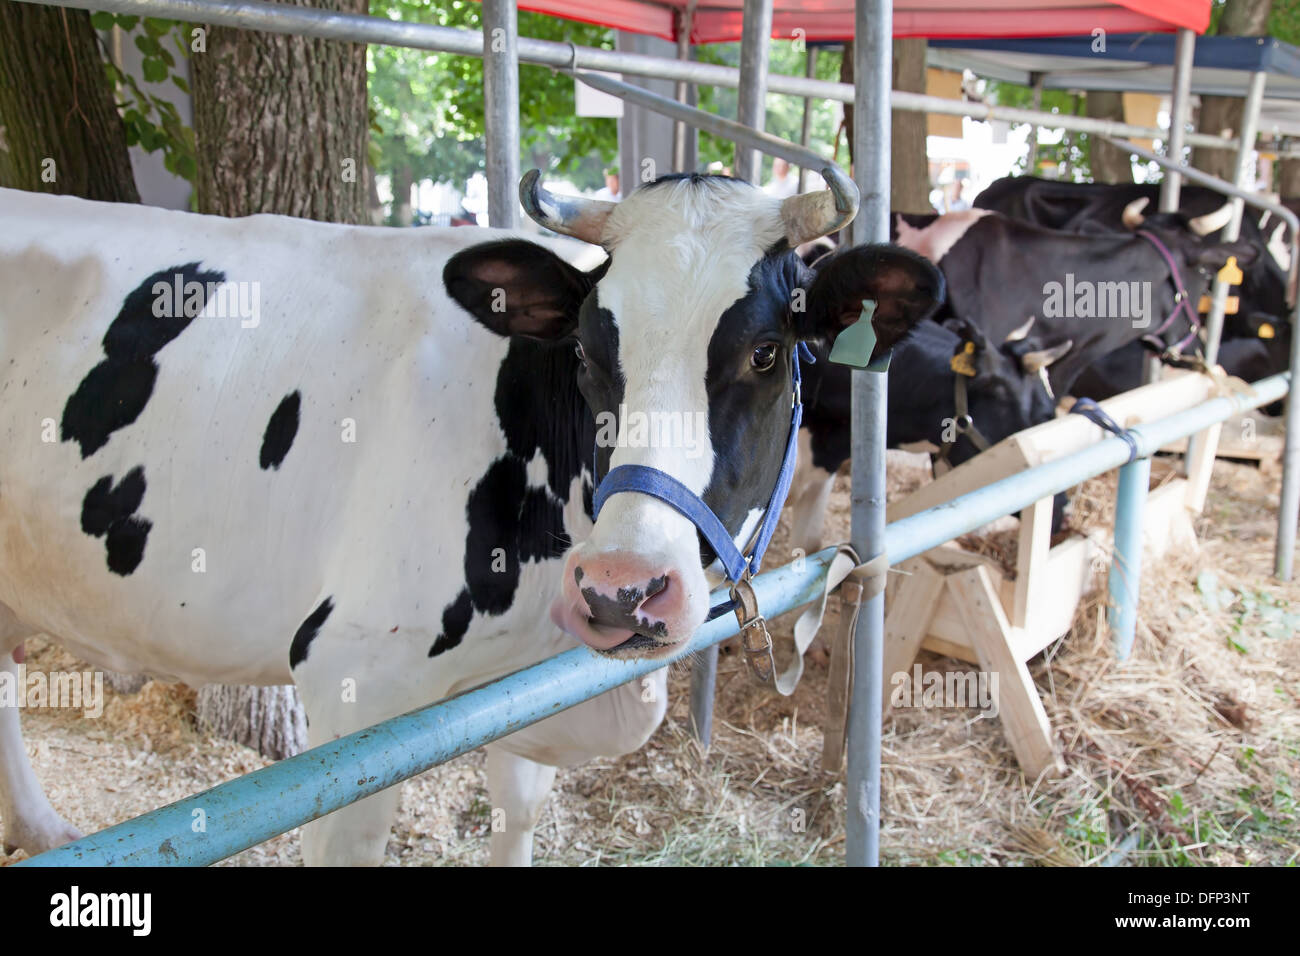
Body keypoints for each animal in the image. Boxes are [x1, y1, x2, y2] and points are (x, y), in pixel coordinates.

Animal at [0, 171, 943, 866]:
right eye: (586, 353)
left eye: (766, 352)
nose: (620, 589)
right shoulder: (351, 687)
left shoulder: (518, 688)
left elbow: (517, 808)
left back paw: (41, 830)